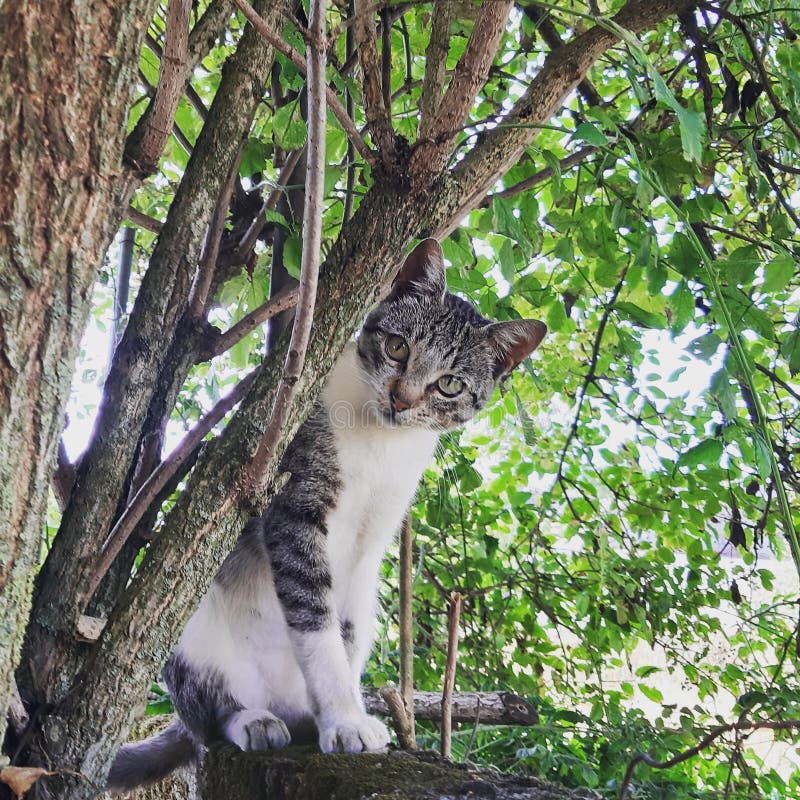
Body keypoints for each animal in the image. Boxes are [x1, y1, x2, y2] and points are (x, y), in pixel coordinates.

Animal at [106, 236, 548, 788]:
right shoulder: (293, 500)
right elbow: (314, 613)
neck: (381, 443)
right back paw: (250, 720)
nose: (403, 399)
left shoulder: (373, 538)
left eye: (449, 384)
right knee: (204, 721)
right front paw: (344, 721)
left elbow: (346, 627)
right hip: (187, 633)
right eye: (398, 347)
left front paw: (348, 713)